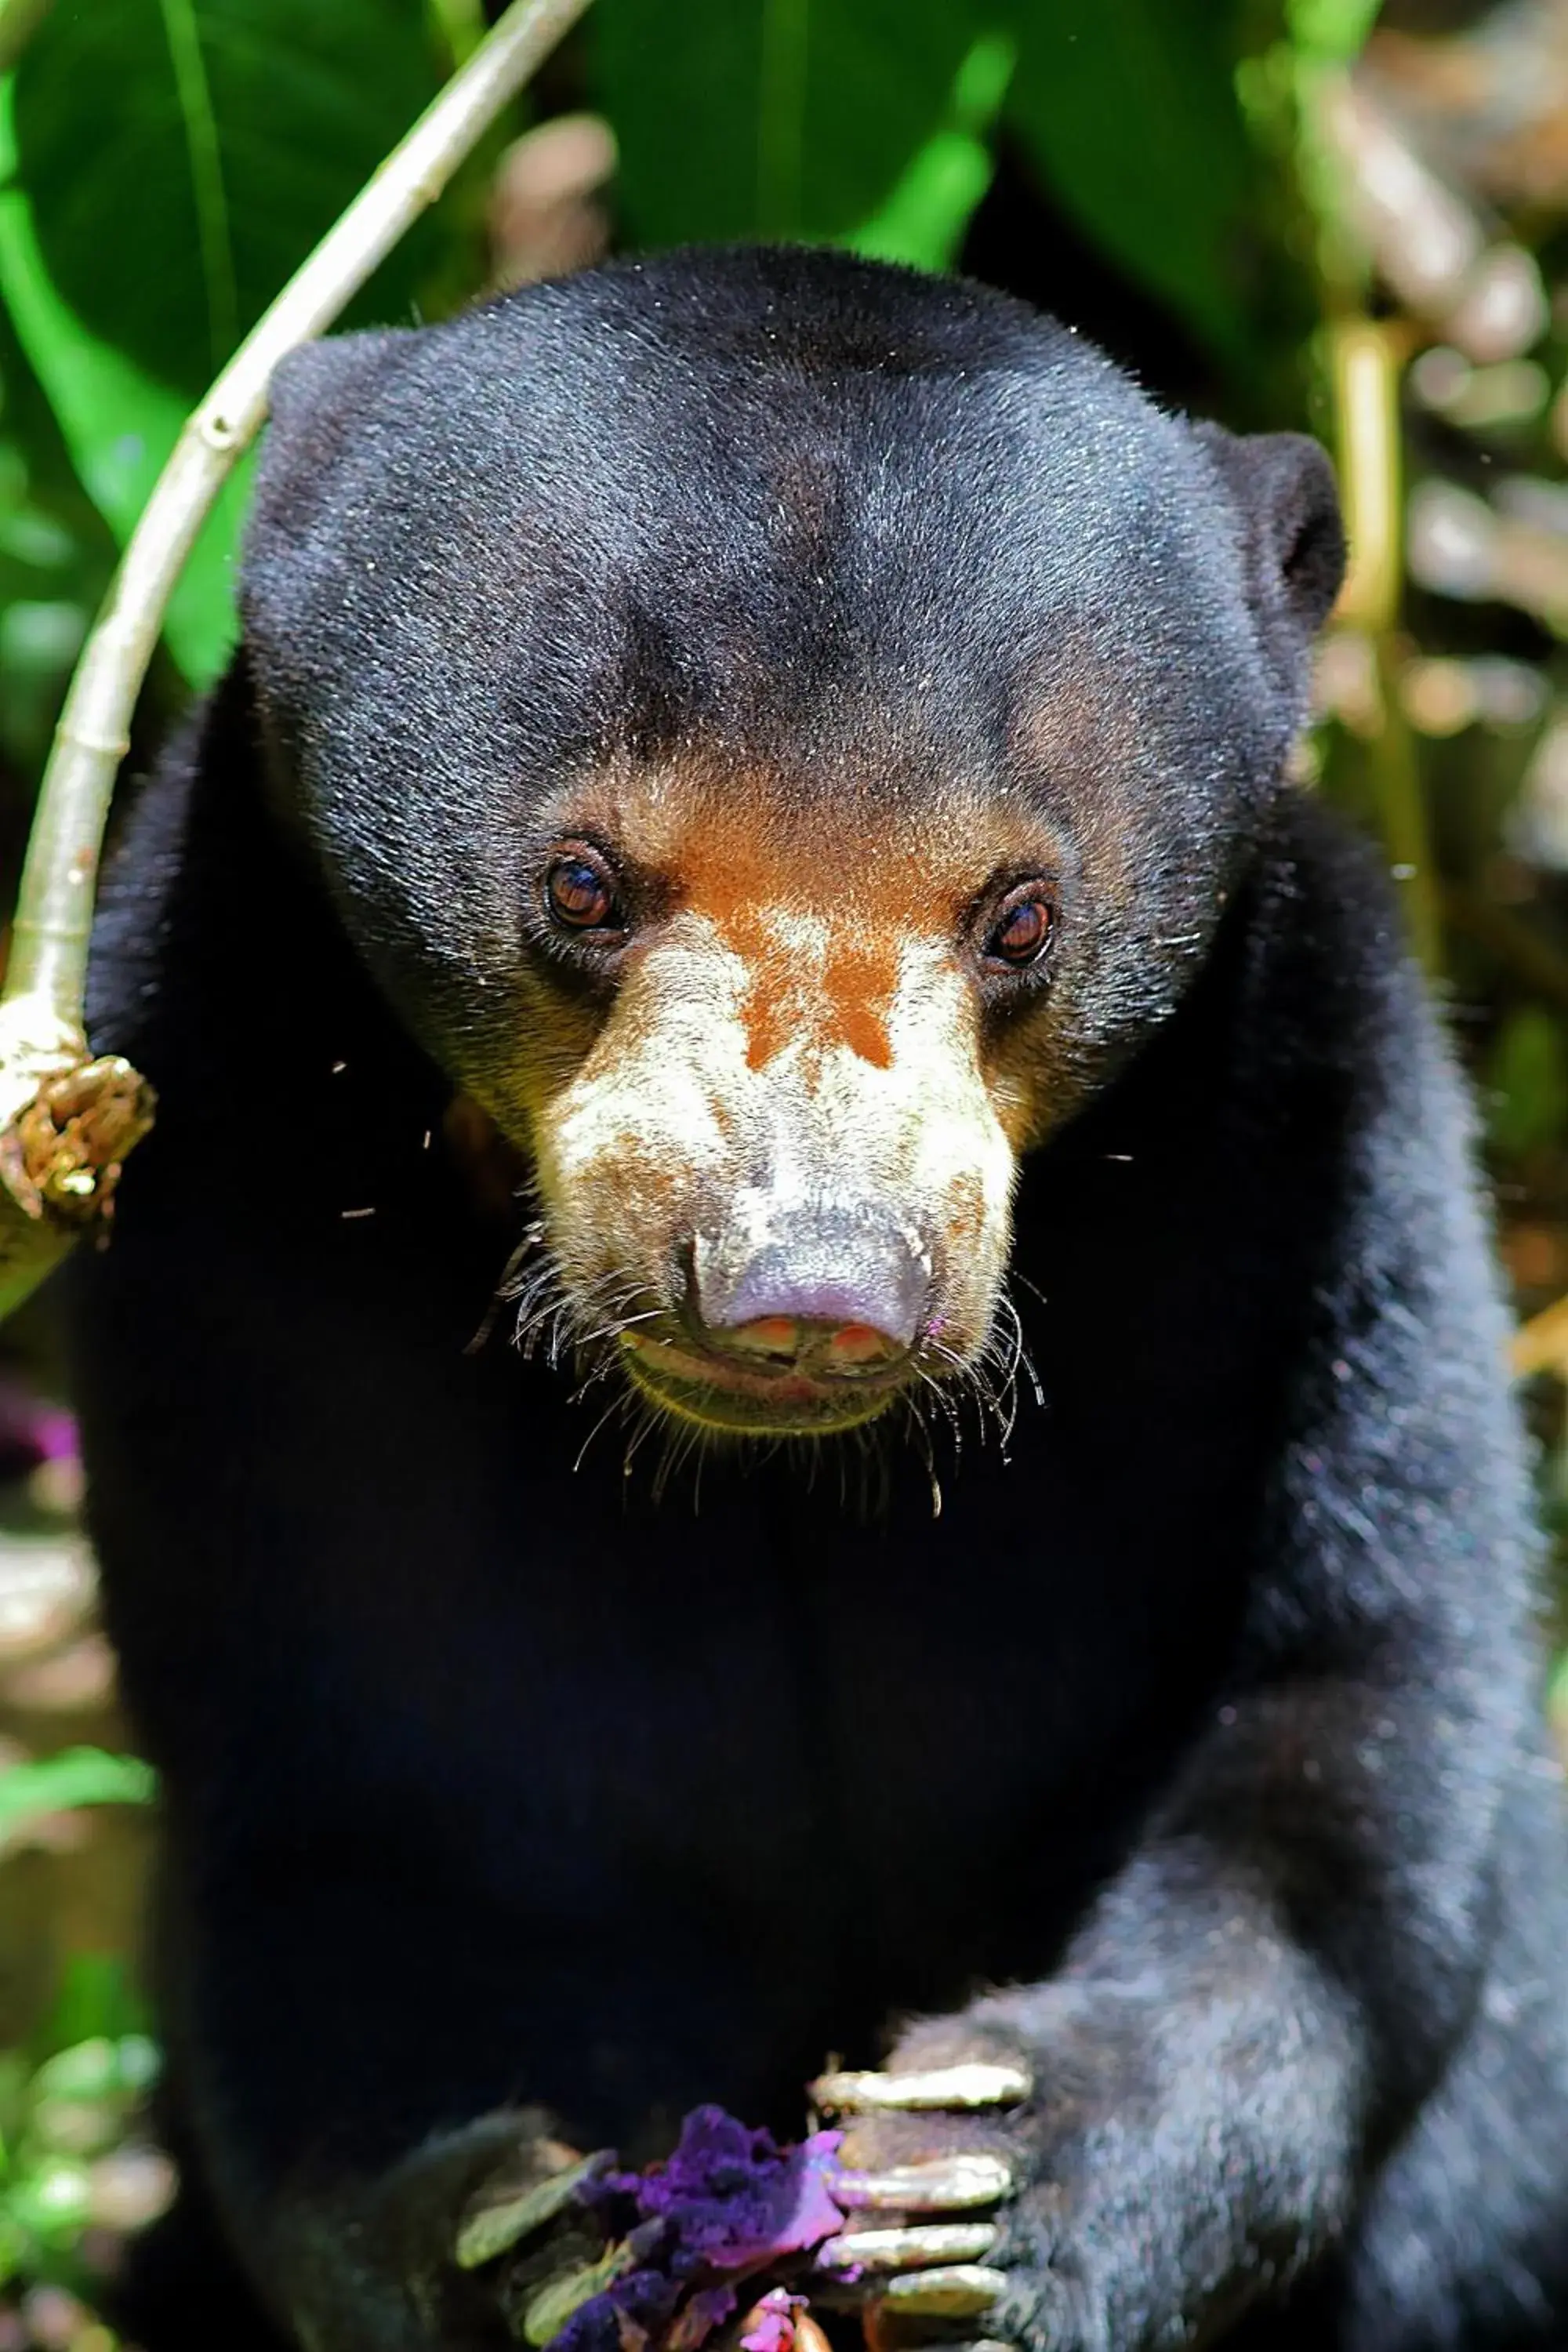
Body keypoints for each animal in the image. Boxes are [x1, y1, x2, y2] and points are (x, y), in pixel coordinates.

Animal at [64, 252, 1568, 2352]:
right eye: (582, 882)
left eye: (1020, 915)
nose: (810, 1291)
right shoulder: (220, 1163)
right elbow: (349, 1797)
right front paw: (514, 2236)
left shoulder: (1317, 1138)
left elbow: (1347, 1723)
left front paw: (988, 2171)